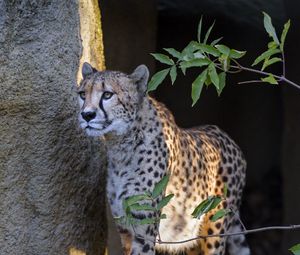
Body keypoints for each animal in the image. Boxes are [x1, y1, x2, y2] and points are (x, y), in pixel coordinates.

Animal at [77, 63, 248, 255]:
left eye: (107, 94)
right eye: (82, 94)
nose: (86, 115)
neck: (121, 145)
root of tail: (228, 137)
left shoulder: (145, 229)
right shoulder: (125, 229)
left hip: (214, 230)